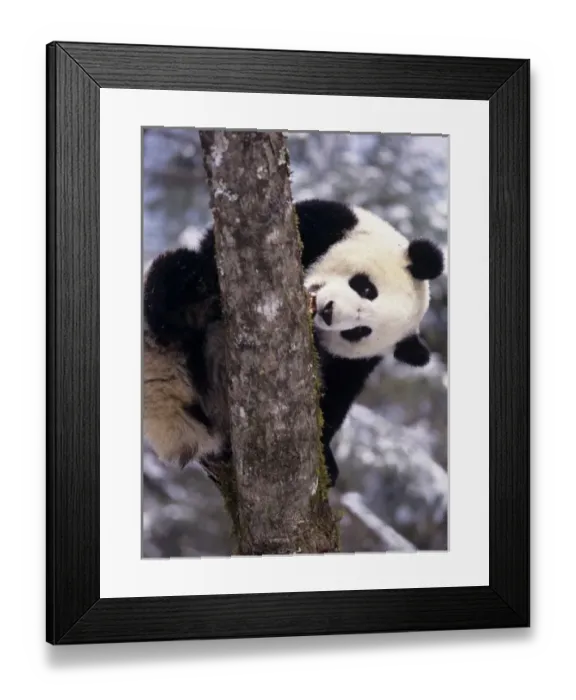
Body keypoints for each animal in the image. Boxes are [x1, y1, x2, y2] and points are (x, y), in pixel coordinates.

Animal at [143, 198, 444, 487]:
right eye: (366, 288)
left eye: (358, 331)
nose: (328, 311)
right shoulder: (322, 223)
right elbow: (214, 249)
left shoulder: (356, 362)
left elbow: (336, 394)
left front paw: (327, 460)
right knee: (174, 277)